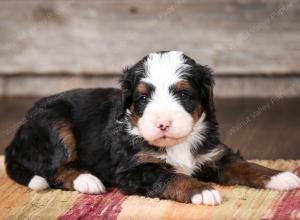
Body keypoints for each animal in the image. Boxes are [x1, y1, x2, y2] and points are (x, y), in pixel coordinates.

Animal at [5, 51, 300, 205]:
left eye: (183, 94)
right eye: (143, 98)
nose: (162, 124)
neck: (177, 144)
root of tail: (15, 139)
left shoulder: (213, 155)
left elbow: (245, 166)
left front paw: (281, 176)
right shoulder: (135, 170)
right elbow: (171, 176)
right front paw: (201, 191)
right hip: (55, 124)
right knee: (54, 169)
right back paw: (88, 180)